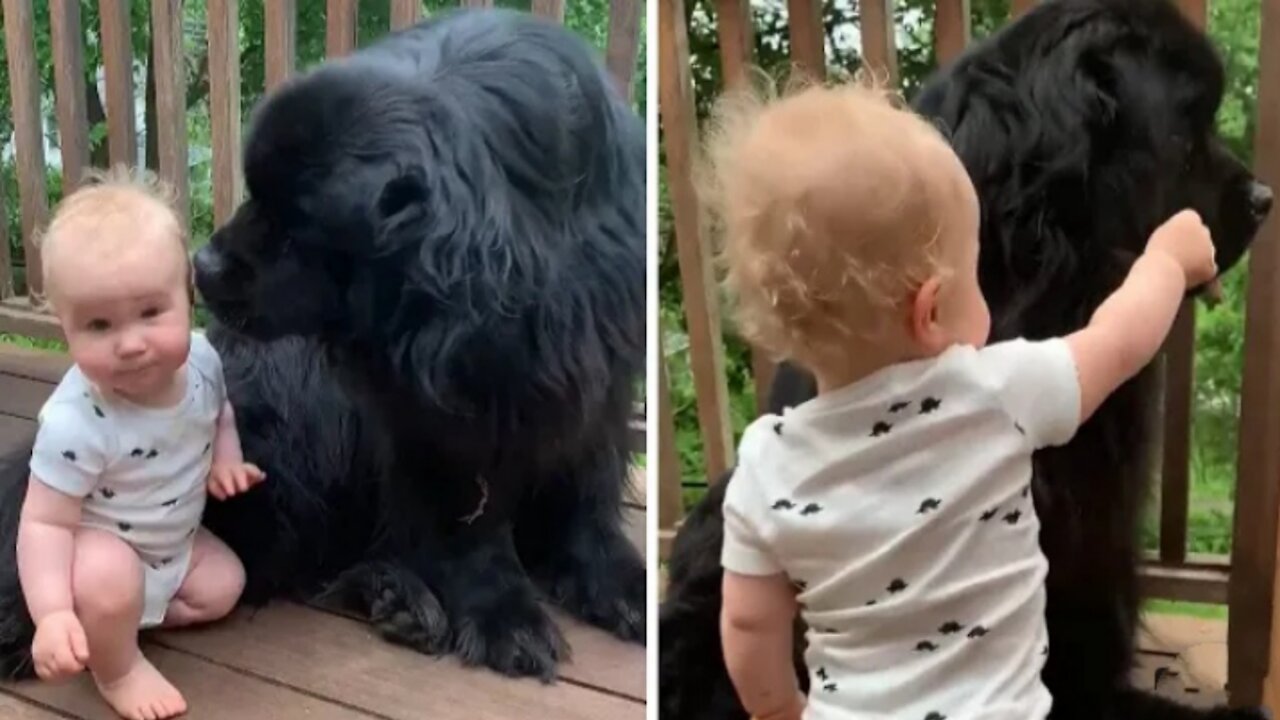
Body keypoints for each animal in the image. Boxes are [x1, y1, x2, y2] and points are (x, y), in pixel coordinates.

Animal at [0, 7, 650, 676]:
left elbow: (586, 485)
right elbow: (470, 510)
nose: (202, 265)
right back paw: (399, 594)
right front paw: (502, 611)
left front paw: (617, 580)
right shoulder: (435, 409)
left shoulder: (593, 369)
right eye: (256, 192)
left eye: (298, 228)